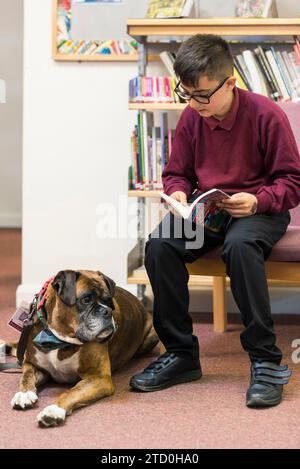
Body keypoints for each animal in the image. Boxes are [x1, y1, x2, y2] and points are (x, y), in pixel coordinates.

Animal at [3, 268, 158, 426]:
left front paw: (54, 410)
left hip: (152, 335)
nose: (107, 311)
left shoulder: (99, 378)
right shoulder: (32, 365)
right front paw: (24, 394)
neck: (59, 339)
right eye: (86, 300)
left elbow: (73, 391)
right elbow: (26, 376)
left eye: (109, 300)